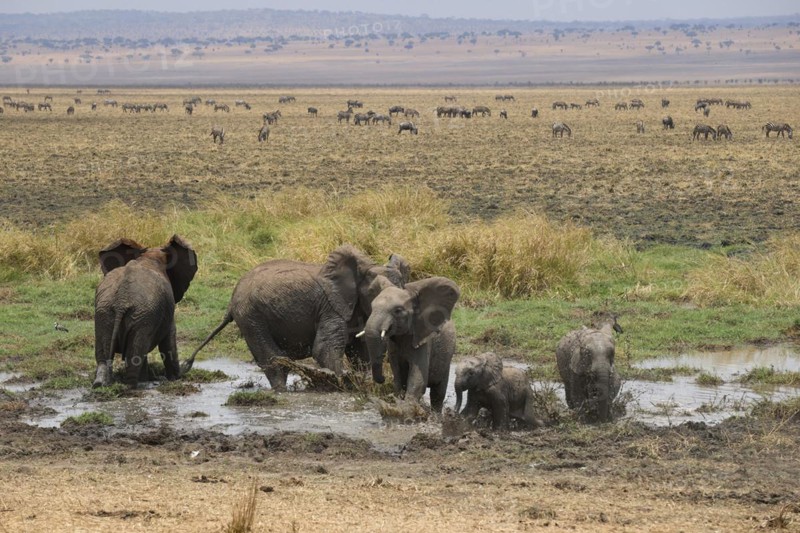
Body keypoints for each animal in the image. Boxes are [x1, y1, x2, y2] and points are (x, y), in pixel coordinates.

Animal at [93, 235, 198, 388]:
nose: (185, 370)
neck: (148, 257)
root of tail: (121, 301)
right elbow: (168, 341)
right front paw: (175, 378)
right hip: (141, 315)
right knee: (135, 355)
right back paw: (133, 386)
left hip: (105, 313)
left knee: (104, 354)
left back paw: (100, 384)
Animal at [181, 245, 410, 391]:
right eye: (375, 294)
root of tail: (231, 300)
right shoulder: (330, 307)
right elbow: (323, 348)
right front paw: (342, 383)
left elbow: (359, 352)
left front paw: (361, 382)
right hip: (251, 316)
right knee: (273, 359)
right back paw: (281, 391)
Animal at [361, 275, 459, 412]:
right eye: (372, 306)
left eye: (398, 311)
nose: (383, 378)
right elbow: (398, 374)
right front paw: (398, 402)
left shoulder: (423, 340)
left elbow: (418, 378)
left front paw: (407, 409)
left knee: (438, 393)